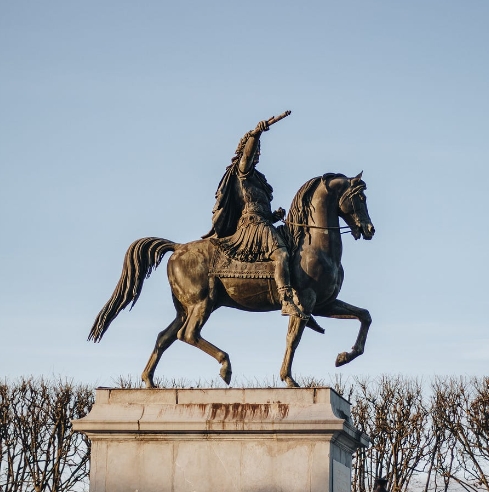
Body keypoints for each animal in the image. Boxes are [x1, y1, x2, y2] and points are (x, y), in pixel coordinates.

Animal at [88, 173, 374, 388]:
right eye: (360, 197)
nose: (369, 229)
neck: (314, 245)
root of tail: (178, 247)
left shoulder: (324, 304)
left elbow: (364, 316)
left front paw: (344, 357)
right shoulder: (304, 302)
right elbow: (293, 339)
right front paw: (289, 379)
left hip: (186, 308)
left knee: (165, 337)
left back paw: (149, 382)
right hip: (202, 303)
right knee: (187, 334)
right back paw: (225, 366)